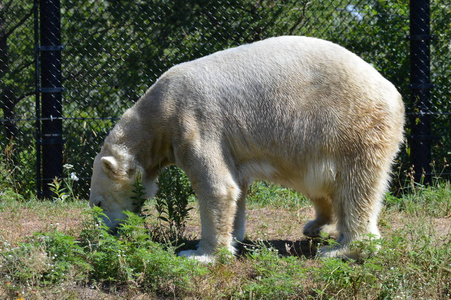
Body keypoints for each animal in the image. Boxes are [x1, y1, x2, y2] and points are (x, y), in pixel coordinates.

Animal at [89, 36, 406, 262]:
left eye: (98, 203)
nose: (107, 231)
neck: (158, 111)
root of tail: (393, 92)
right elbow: (236, 187)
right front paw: (234, 237)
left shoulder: (193, 121)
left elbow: (216, 187)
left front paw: (199, 254)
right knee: (324, 186)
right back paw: (318, 226)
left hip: (352, 126)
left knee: (355, 187)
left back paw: (343, 249)